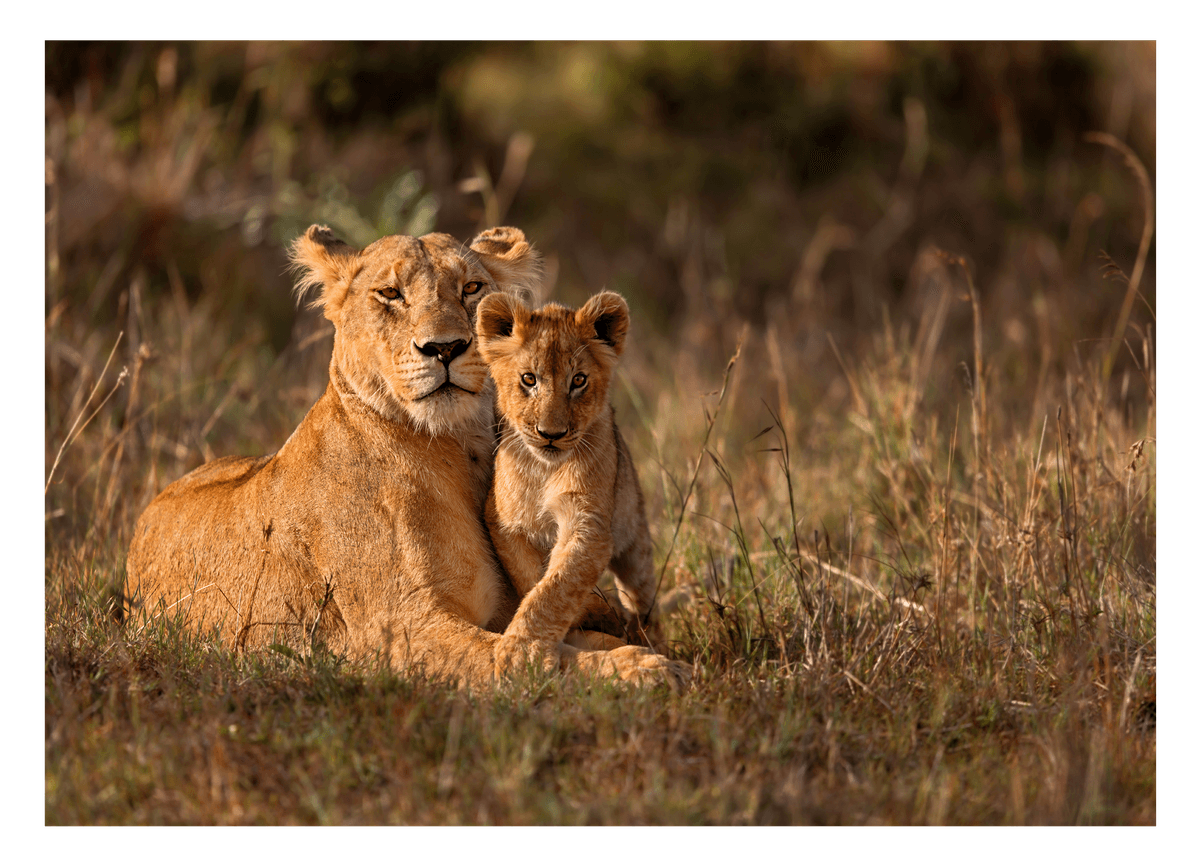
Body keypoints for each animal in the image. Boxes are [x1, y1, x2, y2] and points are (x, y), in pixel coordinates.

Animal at [476, 290, 674, 659]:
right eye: (529, 379)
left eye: (578, 380)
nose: (550, 434)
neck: (544, 468)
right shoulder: (505, 522)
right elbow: (534, 579)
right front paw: (596, 612)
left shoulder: (589, 524)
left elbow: (557, 586)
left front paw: (521, 651)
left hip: (635, 539)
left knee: (643, 598)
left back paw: (650, 638)